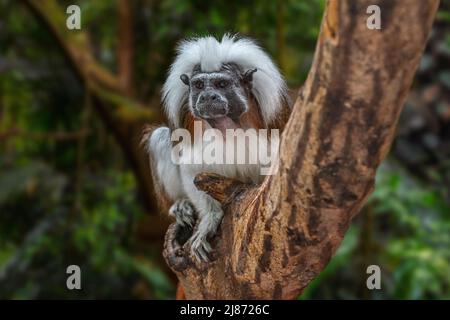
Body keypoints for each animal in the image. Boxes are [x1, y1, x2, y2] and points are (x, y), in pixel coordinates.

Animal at [145, 34, 292, 262]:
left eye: (221, 83)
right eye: (198, 85)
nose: (207, 97)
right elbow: (192, 171)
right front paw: (209, 220)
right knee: (160, 137)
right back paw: (181, 205)